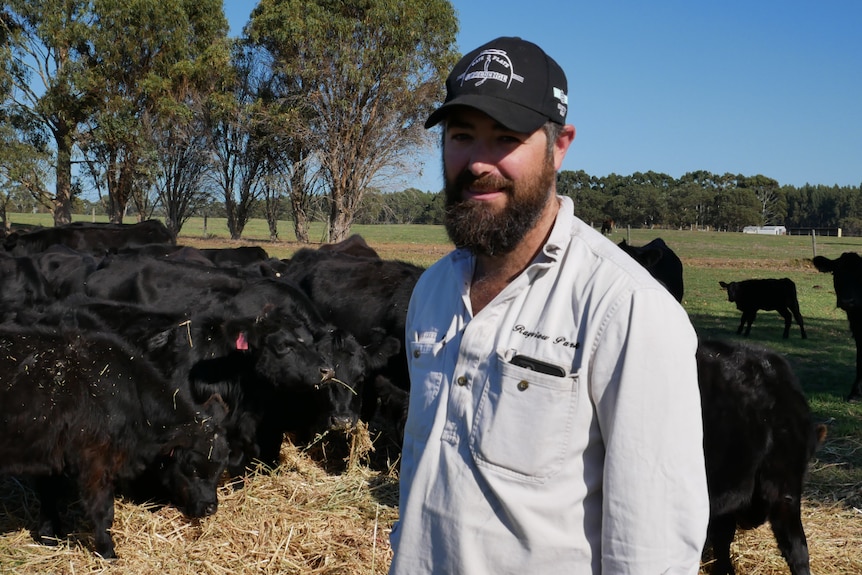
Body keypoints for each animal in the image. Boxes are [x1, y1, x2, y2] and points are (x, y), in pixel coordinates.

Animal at [0, 324, 231, 560]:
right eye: (192, 469)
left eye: (221, 469)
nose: (210, 507)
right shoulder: (96, 460)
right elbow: (102, 510)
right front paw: (107, 552)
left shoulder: (51, 457)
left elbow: (48, 497)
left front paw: (49, 537)